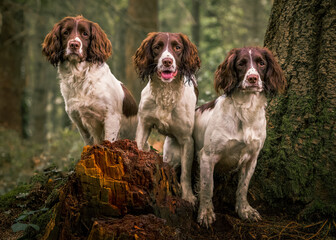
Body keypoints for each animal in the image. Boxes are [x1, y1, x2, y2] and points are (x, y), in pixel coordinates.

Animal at [42, 16, 137, 146]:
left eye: (85, 34)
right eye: (65, 32)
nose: (74, 44)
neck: (80, 78)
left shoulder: (111, 118)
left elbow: (108, 142)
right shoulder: (79, 121)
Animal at [133, 32, 202, 204]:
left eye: (177, 47)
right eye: (157, 47)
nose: (167, 61)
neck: (166, 91)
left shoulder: (186, 140)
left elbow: (185, 173)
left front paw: (188, 196)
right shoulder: (144, 124)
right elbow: (139, 147)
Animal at [194, 47, 286, 227]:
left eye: (261, 63)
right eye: (241, 64)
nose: (252, 78)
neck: (246, 110)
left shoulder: (251, 158)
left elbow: (243, 187)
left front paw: (245, 211)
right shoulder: (207, 156)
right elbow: (207, 187)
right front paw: (206, 213)